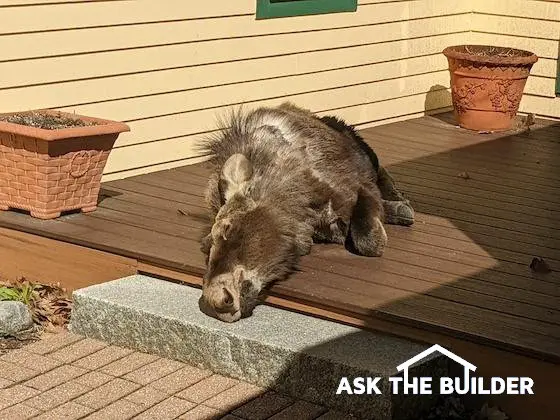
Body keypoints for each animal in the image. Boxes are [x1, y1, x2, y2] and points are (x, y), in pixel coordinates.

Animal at [199, 102, 414, 322]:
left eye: (227, 229)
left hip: (366, 154)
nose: (215, 301)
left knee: (382, 173)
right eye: (206, 246)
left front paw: (393, 213)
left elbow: (368, 239)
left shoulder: (359, 186)